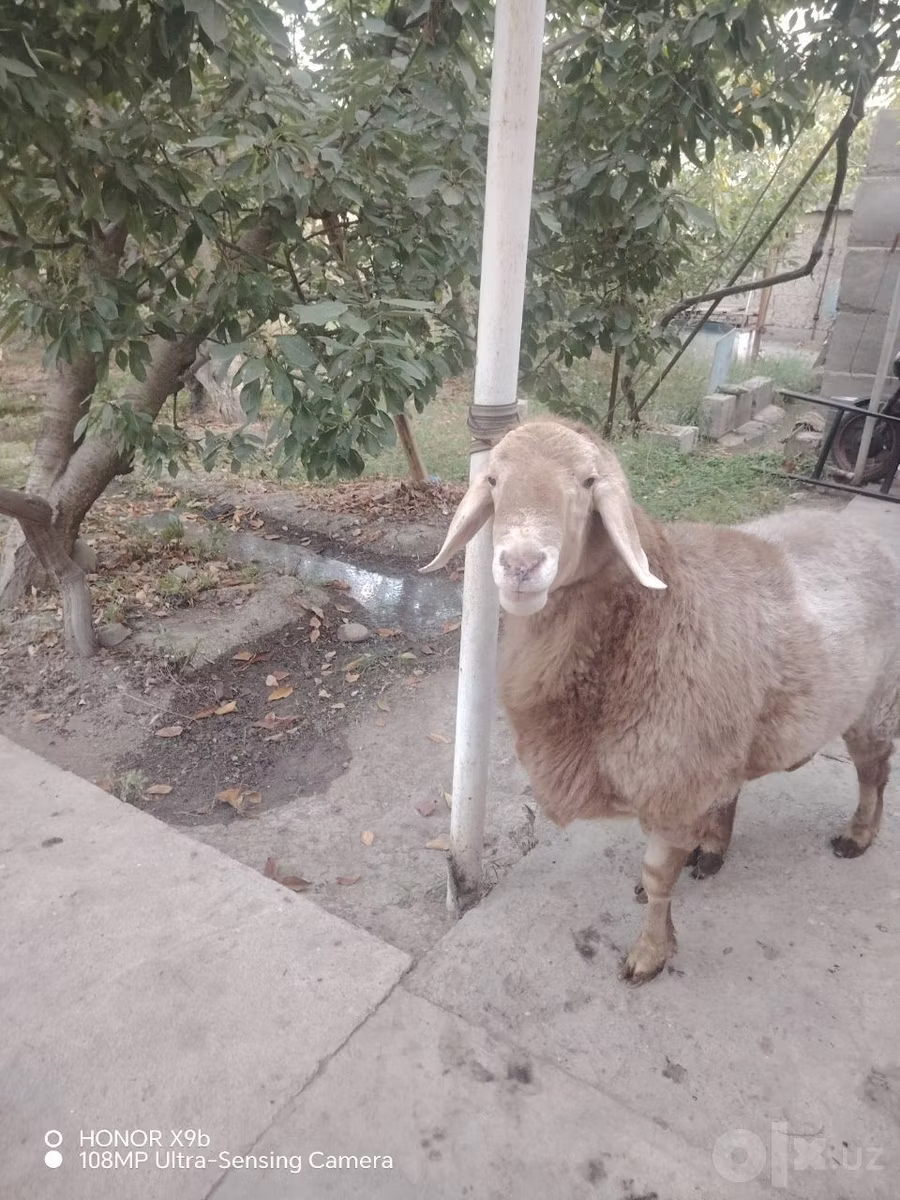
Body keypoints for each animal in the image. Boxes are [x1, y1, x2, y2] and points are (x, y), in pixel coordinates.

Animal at [421, 417, 900, 985]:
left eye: (588, 482)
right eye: (493, 480)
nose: (520, 565)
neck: (651, 616)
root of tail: (865, 536)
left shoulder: (673, 781)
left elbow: (655, 880)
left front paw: (650, 953)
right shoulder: (689, 773)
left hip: (874, 702)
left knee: (873, 770)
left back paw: (858, 835)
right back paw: (712, 849)